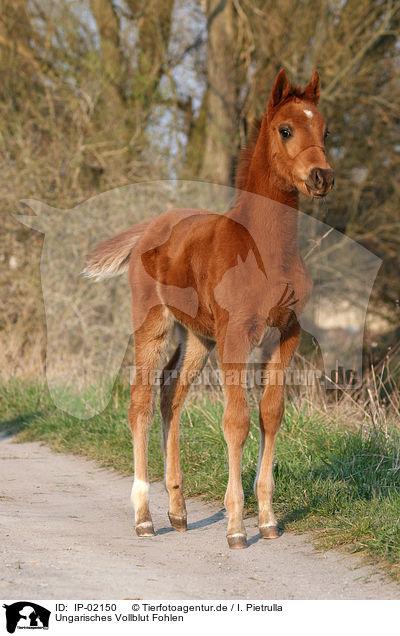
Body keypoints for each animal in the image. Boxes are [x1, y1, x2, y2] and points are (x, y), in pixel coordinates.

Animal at [87, 68, 334, 548]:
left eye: (326, 130)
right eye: (286, 129)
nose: (321, 177)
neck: (265, 250)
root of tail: (151, 227)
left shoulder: (286, 333)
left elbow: (271, 413)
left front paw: (268, 520)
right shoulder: (235, 336)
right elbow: (236, 420)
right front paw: (237, 526)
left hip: (199, 337)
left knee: (170, 394)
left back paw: (178, 511)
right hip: (154, 324)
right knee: (140, 402)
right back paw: (145, 518)